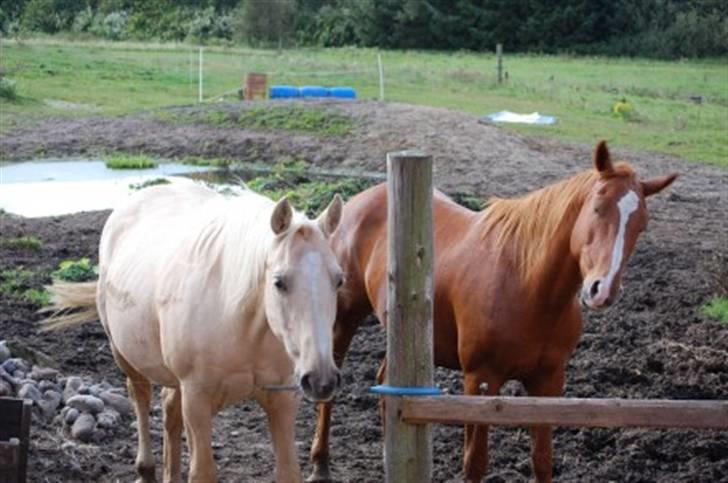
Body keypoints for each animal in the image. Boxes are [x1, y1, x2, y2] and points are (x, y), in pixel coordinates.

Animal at [308, 142, 676, 482]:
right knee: (331, 388)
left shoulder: (548, 382)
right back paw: (320, 464)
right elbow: (475, 463)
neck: (528, 285)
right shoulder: (481, 381)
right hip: (344, 319)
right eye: (597, 208)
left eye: (642, 225)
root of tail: (356, 203)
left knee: (387, 386)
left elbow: (542, 461)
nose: (603, 290)